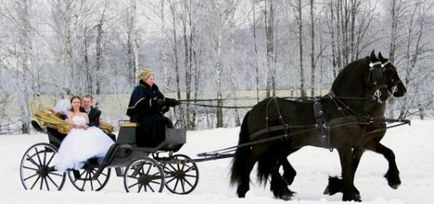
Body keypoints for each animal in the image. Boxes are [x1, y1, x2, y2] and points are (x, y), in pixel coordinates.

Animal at [231, 51, 404, 201]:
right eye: (385, 71)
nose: (402, 90)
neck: (347, 107)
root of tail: (254, 109)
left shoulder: (363, 143)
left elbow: (387, 154)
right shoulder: (344, 146)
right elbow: (348, 169)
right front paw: (348, 195)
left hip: (284, 145)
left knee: (272, 165)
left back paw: (282, 190)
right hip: (261, 145)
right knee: (249, 165)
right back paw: (243, 192)